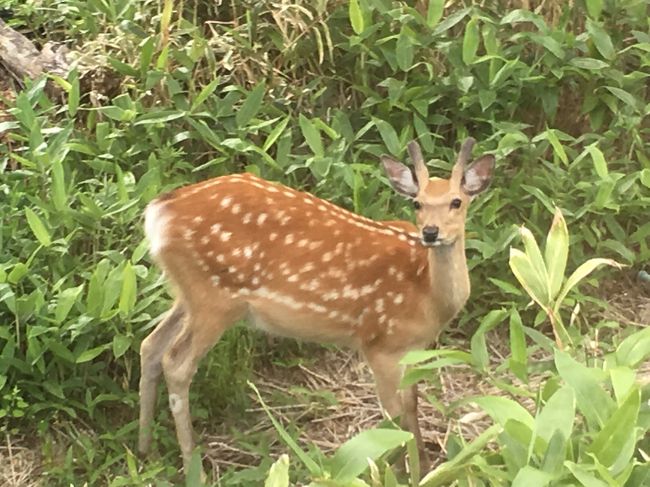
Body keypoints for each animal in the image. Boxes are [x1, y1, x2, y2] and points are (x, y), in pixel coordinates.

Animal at [135, 136, 492, 472]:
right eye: (417, 203)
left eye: (457, 201)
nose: (430, 232)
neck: (426, 295)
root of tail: (159, 211)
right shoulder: (379, 344)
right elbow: (395, 420)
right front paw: (404, 473)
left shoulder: (415, 349)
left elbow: (412, 407)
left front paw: (428, 469)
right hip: (214, 298)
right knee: (176, 362)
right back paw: (191, 464)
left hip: (189, 293)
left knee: (150, 345)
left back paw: (145, 451)